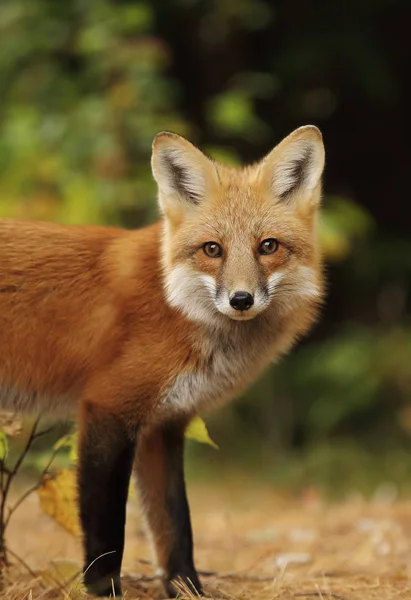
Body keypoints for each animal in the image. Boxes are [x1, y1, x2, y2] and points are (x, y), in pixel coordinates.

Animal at [0, 125, 326, 596]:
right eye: (212, 249)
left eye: (268, 246)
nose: (241, 300)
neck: (175, 304)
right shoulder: (108, 408)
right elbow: (106, 529)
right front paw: (102, 589)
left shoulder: (166, 424)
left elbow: (175, 524)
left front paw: (187, 588)